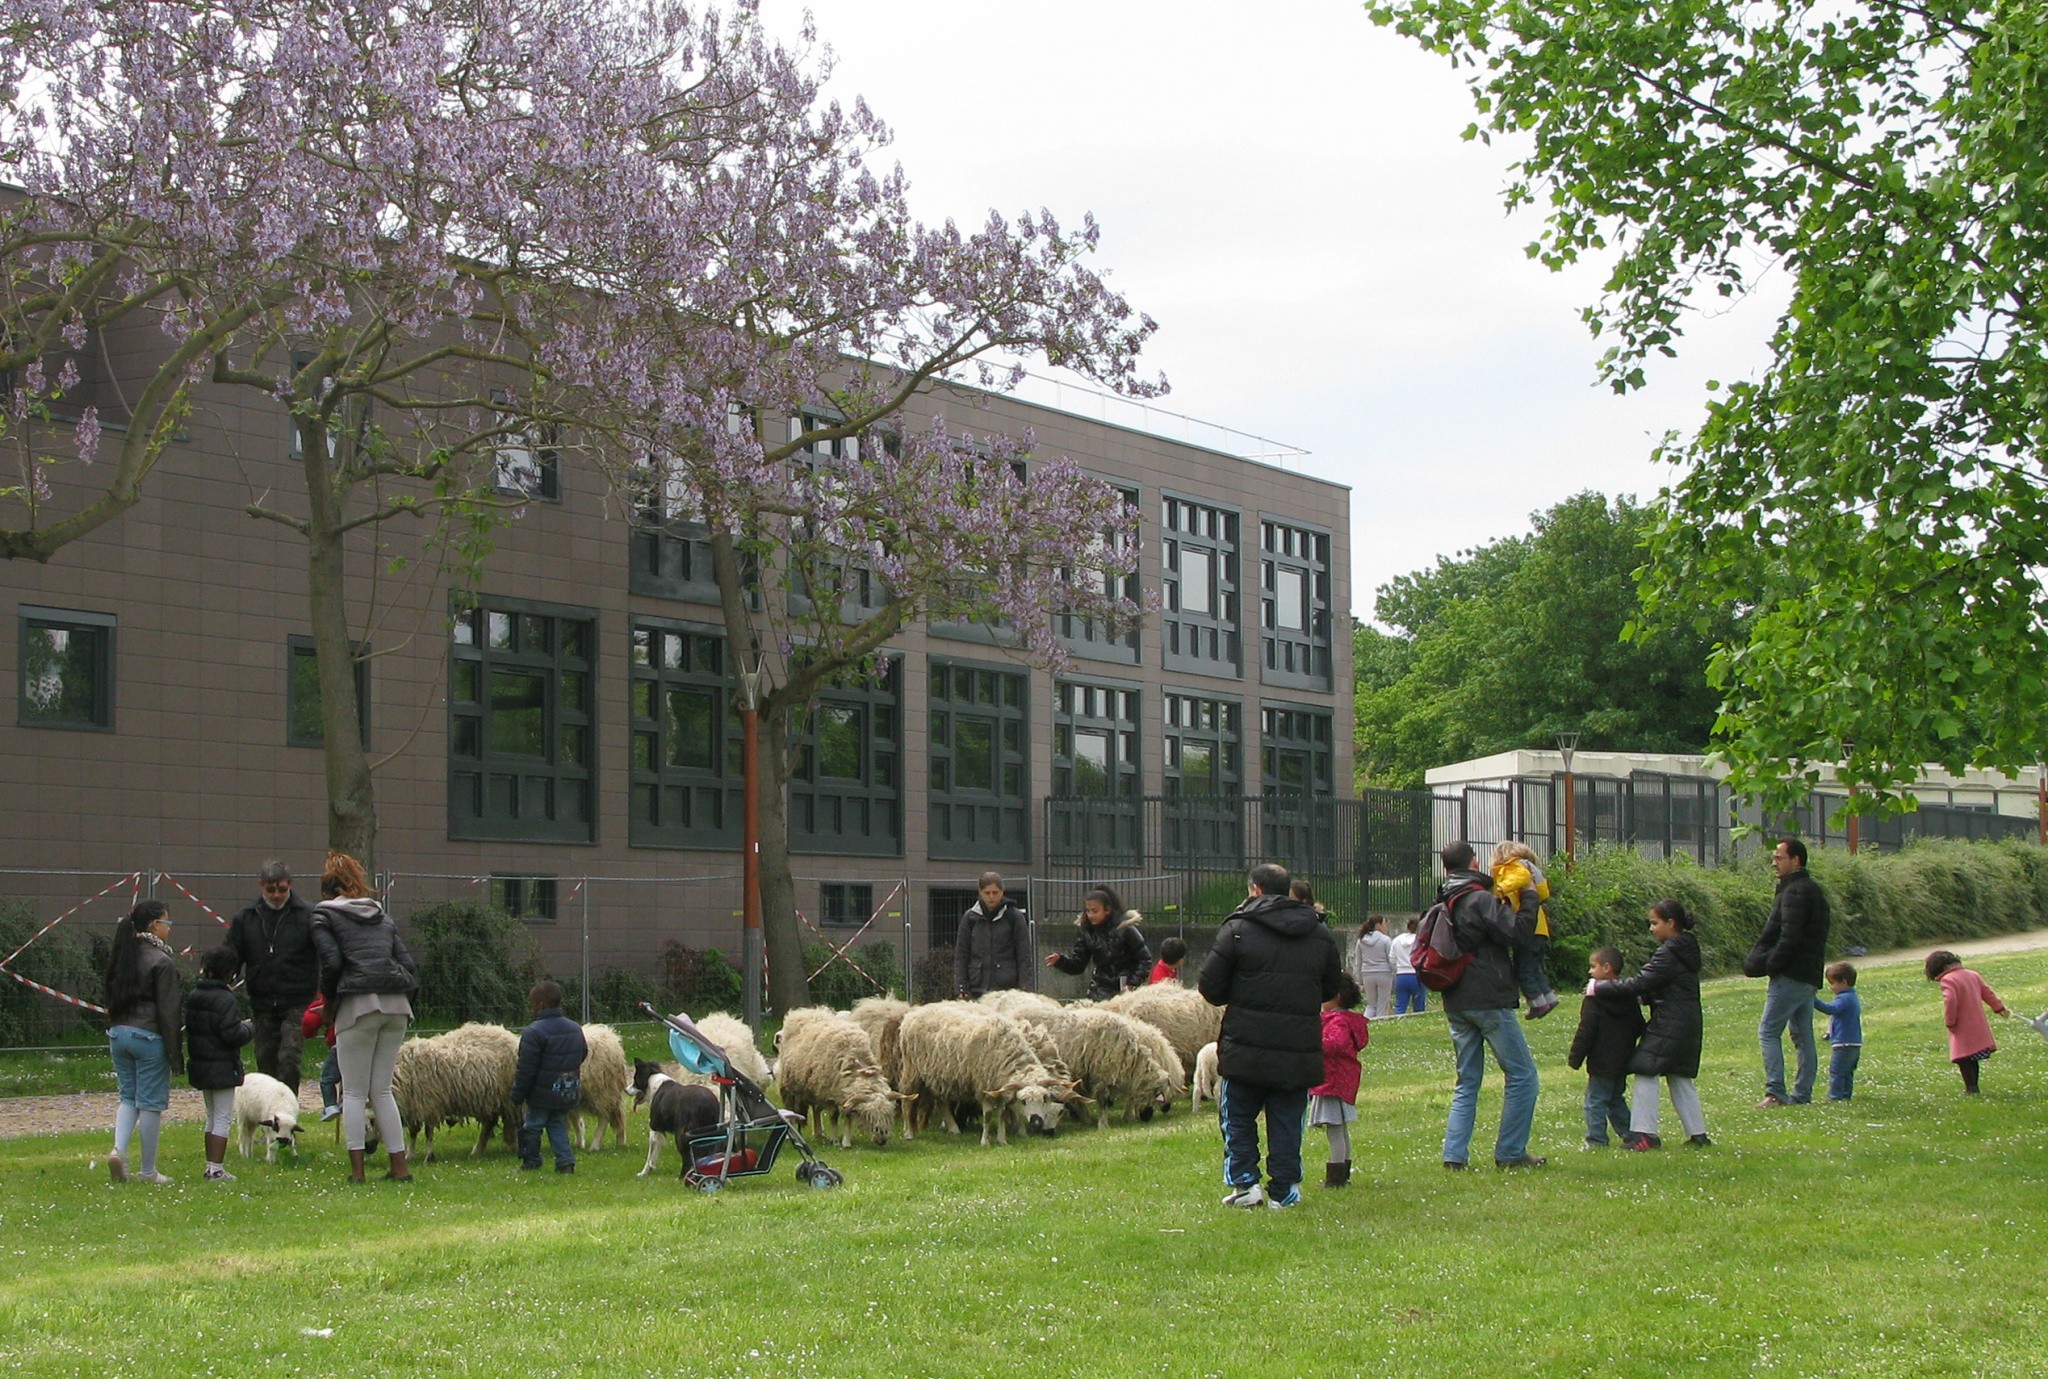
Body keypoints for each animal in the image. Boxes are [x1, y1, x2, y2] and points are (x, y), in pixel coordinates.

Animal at [389, 1016, 520, 1155]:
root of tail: (509, 1035)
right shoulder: (414, 1106)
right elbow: (414, 1131)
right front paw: (410, 1154)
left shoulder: (427, 1104)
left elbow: (424, 1131)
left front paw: (422, 1155)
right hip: (489, 1100)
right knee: (490, 1122)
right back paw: (478, 1150)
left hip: (508, 1100)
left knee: (510, 1122)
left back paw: (512, 1146)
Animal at [770, 1012, 901, 1147]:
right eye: (868, 1115)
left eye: (889, 1114)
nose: (882, 1139)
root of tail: (804, 1012)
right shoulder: (830, 1096)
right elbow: (834, 1117)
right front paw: (835, 1140)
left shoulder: (842, 1095)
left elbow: (848, 1118)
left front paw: (846, 1142)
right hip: (790, 1087)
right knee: (790, 1108)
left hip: (815, 1088)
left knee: (816, 1110)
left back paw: (819, 1133)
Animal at [897, 995, 1089, 1147]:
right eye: (1024, 1101)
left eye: (1045, 1100)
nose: (1038, 1124)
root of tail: (915, 1013)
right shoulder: (984, 1086)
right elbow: (989, 1115)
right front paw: (986, 1141)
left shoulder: (1000, 1086)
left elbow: (1002, 1113)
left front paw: (1002, 1139)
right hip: (912, 1070)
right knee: (907, 1101)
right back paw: (909, 1133)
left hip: (940, 1075)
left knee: (941, 1101)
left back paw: (954, 1128)